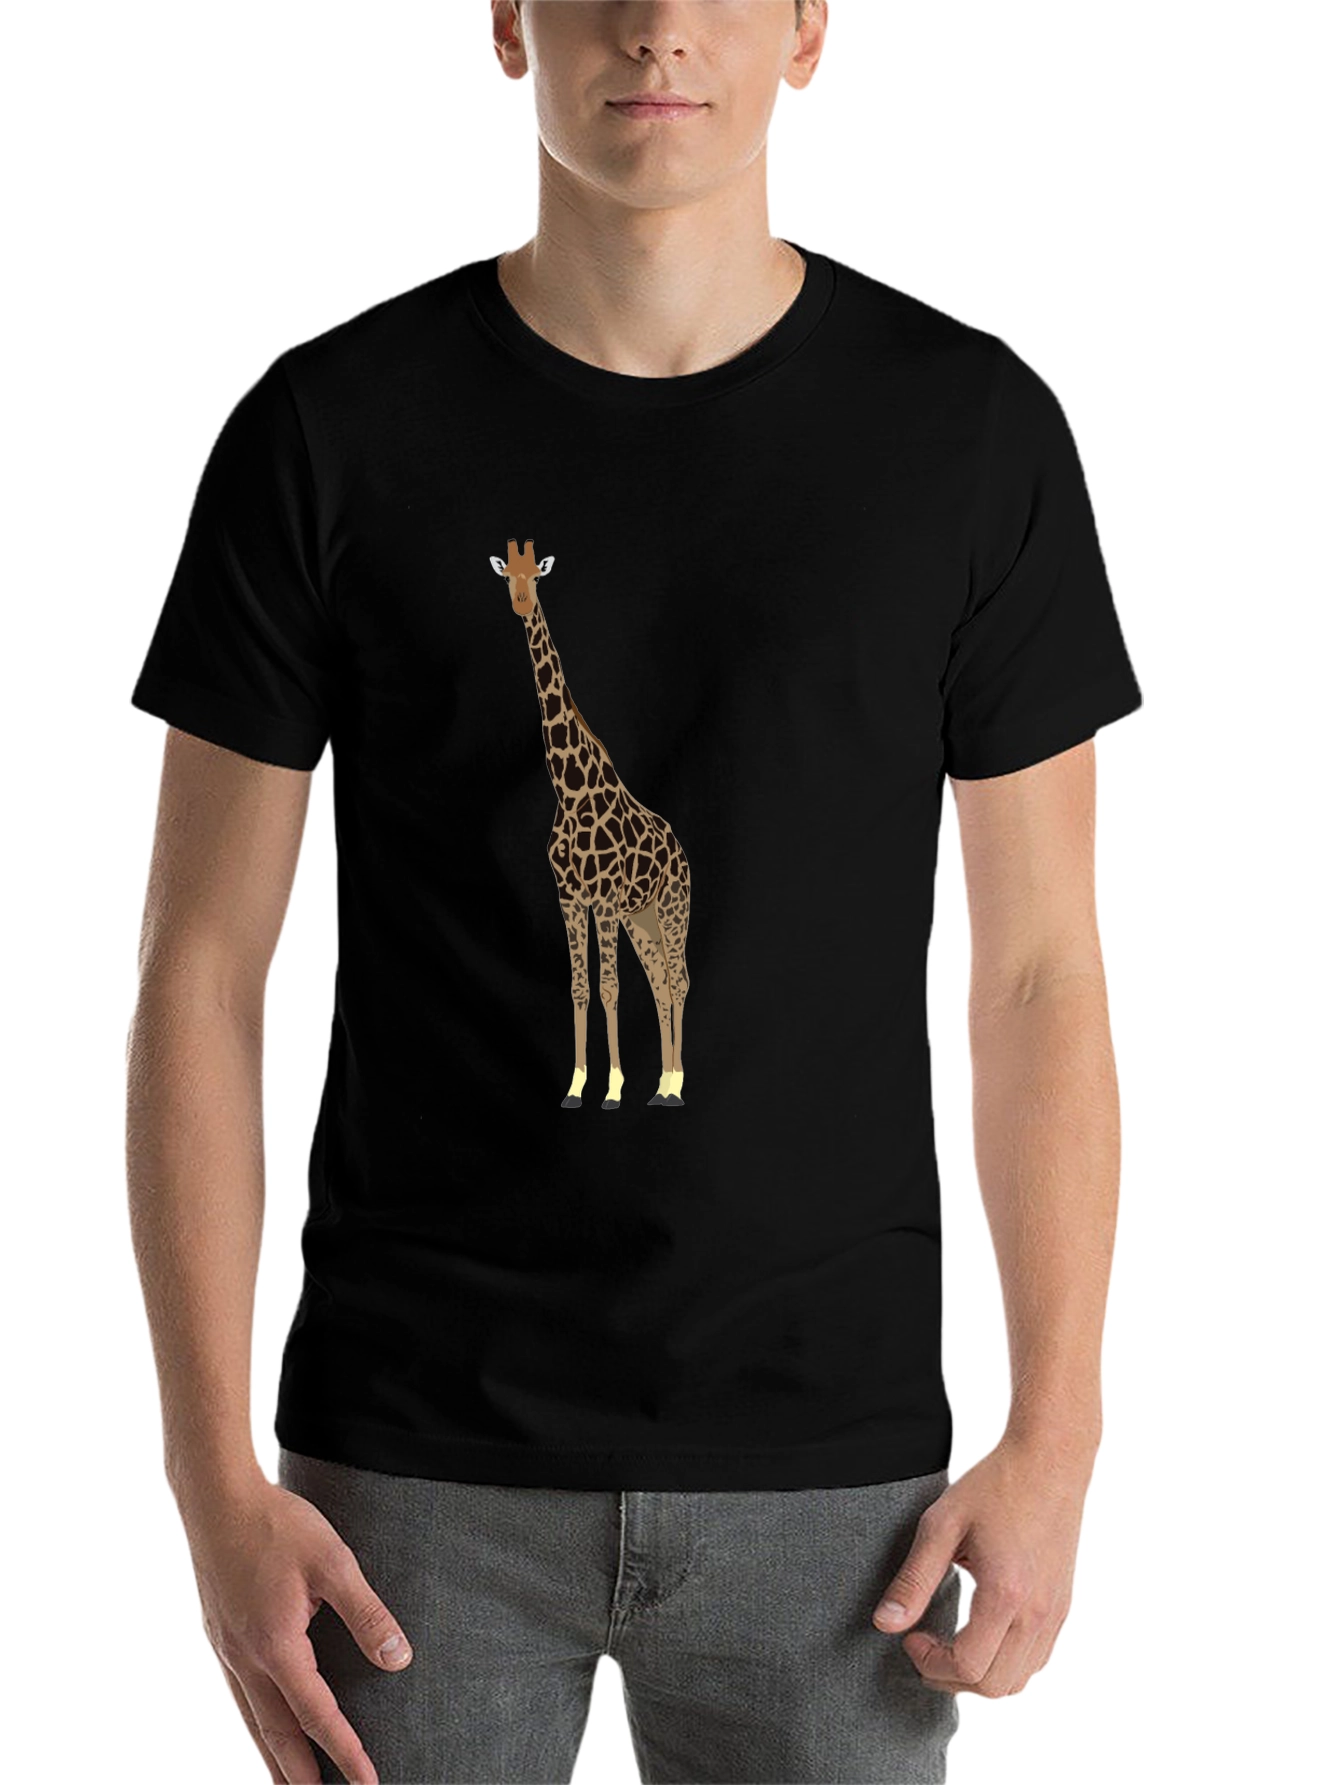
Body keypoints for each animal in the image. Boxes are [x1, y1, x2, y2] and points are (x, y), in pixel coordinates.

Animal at [489, 540, 690, 1108]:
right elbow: (581, 987)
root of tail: (680, 847)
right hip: (640, 918)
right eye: (506, 575)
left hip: (670, 908)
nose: (520, 602)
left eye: (537, 575)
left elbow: (608, 988)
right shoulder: (570, 897)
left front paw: (614, 1088)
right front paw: (577, 1086)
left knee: (680, 981)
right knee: (661, 984)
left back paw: (675, 1085)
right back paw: (663, 1085)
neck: (570, 788)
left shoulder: (602, 898)